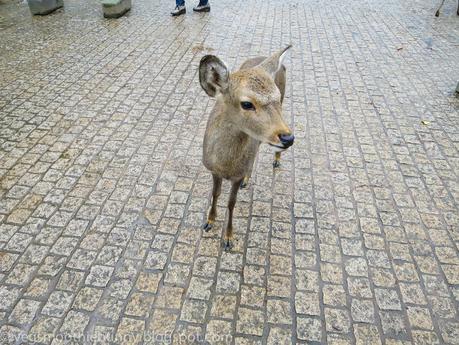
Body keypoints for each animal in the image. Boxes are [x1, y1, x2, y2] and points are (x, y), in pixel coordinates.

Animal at [200, 45, 296, 250]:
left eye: (276, 97)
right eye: (246, 103)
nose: (288, 138)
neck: (226, 165)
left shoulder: (235, 176)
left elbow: (231, 203)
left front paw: (228, 238)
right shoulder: (212, 170)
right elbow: (216, 194)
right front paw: (209, 221)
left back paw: (274, 162)